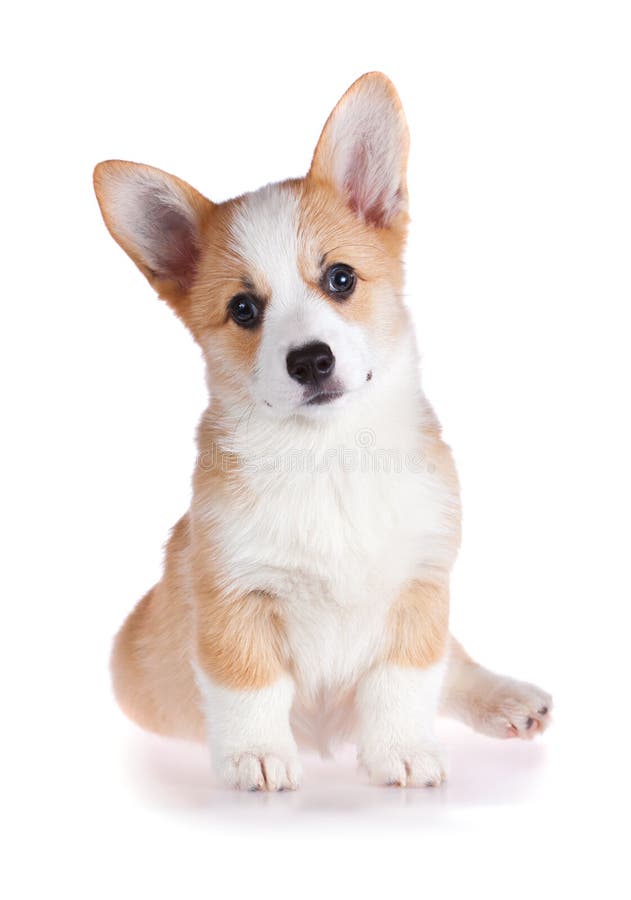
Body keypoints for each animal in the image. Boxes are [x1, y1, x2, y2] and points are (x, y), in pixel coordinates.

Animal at [95, 72, 552, 788]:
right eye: (243, 309)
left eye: (340, 278)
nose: (310, 360)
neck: (330, 455)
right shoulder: (233, 593)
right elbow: (249, 686)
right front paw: (256, 757)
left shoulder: (421, 587)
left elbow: (405, 682)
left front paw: (401, 752)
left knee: (455, 665)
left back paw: (508, 698)